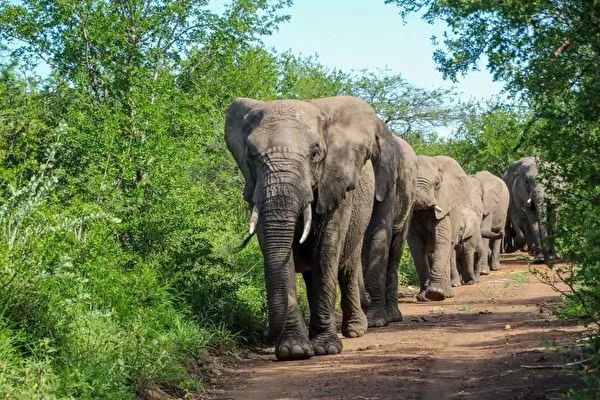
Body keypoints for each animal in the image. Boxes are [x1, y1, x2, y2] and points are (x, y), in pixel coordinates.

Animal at [225, 96, 398, 360]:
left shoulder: (336, 185)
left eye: (315, 154)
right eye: (251, 155)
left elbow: (326, 251)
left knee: (346, 268)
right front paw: (294, 351)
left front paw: (326, 349)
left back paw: (355, 330)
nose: (263, 334)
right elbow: (276, 251)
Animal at [360, 136, 418, 326]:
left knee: (395, 249)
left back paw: (392, 317)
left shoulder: (388, 182)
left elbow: (378, 233)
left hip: (409, 200)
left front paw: (374, 322)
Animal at [408, 155, 468, 302]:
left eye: (436, 184)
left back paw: (446, 293)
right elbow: (415, 245)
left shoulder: (443, 205)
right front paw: (423, 297)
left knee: (448, 247)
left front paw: (435, 294)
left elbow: (441, 239)